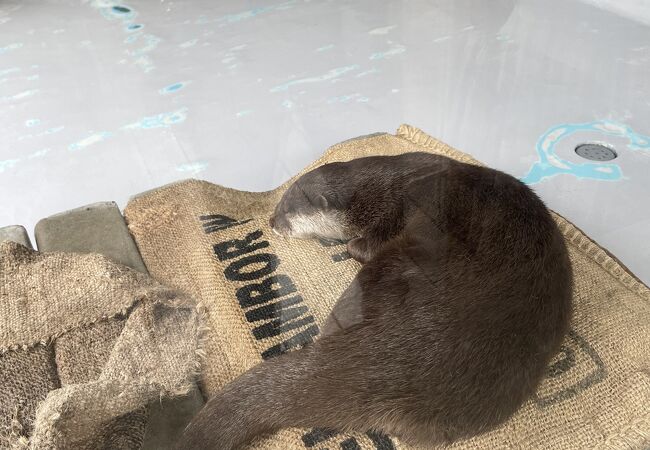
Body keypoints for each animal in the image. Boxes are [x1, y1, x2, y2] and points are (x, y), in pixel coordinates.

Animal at [175, 152, 568, 450]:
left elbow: (363, 245)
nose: (272, 220)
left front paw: (351, 244)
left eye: (287, 211)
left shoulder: (394, 208)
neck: (381, 187)